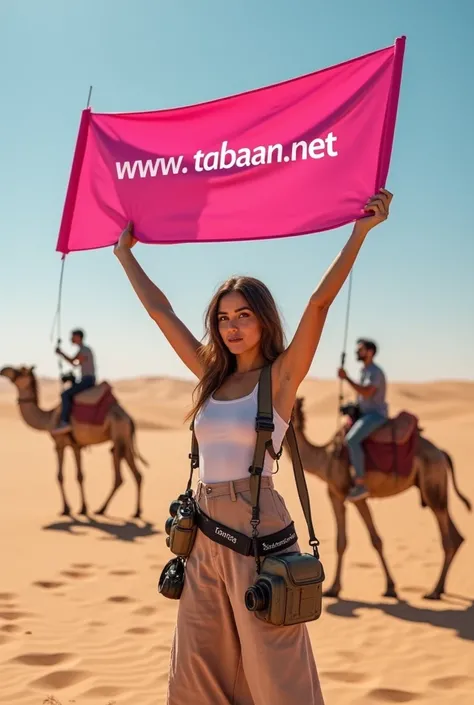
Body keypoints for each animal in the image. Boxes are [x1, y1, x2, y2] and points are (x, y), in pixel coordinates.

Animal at [0, 364, 148, 516]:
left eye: (20, 370)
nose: (4, 369)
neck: (48, 418)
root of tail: (129, 418)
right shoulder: (76, 445)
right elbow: (80, 476)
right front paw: (82, 508)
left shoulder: (59, 444)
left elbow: (60, 476)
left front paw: (66, 509)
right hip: (125, 440)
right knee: (137, 474)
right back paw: (136, 511)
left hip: (119, 434)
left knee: (119, 476)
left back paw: (102, 509)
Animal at [288, 396, 470, 600]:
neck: (325, 458)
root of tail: (442, 453)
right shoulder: (334, 494)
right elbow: (341, 542)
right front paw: (333, 588)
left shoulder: (355, 496)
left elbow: (375, 540)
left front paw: (390, 588)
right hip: (438, 489)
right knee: (456, 535)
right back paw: (441, 588)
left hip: (433, 482)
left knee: (447, 538)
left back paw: (434, 591)